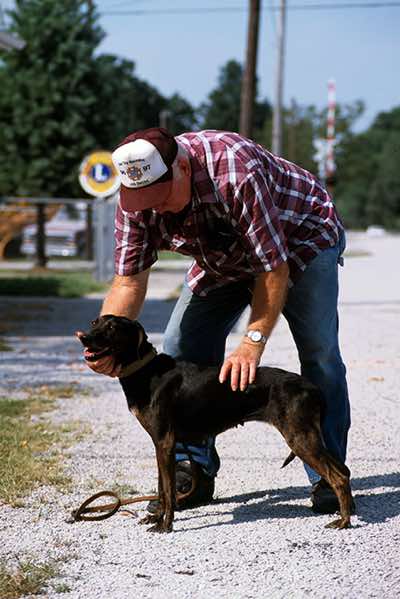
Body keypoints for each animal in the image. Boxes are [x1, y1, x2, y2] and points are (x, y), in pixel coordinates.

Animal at [76, 316, 352, 532]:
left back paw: (343, 521)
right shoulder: (159, 444)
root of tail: (312, 388)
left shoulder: (164, 441)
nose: (83, 337)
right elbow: (162, 487)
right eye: (95, 322)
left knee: (338, 476)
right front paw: (156, 517)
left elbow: (167, 489)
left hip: (299, 437)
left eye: (113, 327)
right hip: (308, 436)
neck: (145, 370)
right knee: (344, 471)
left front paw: (165, 525)